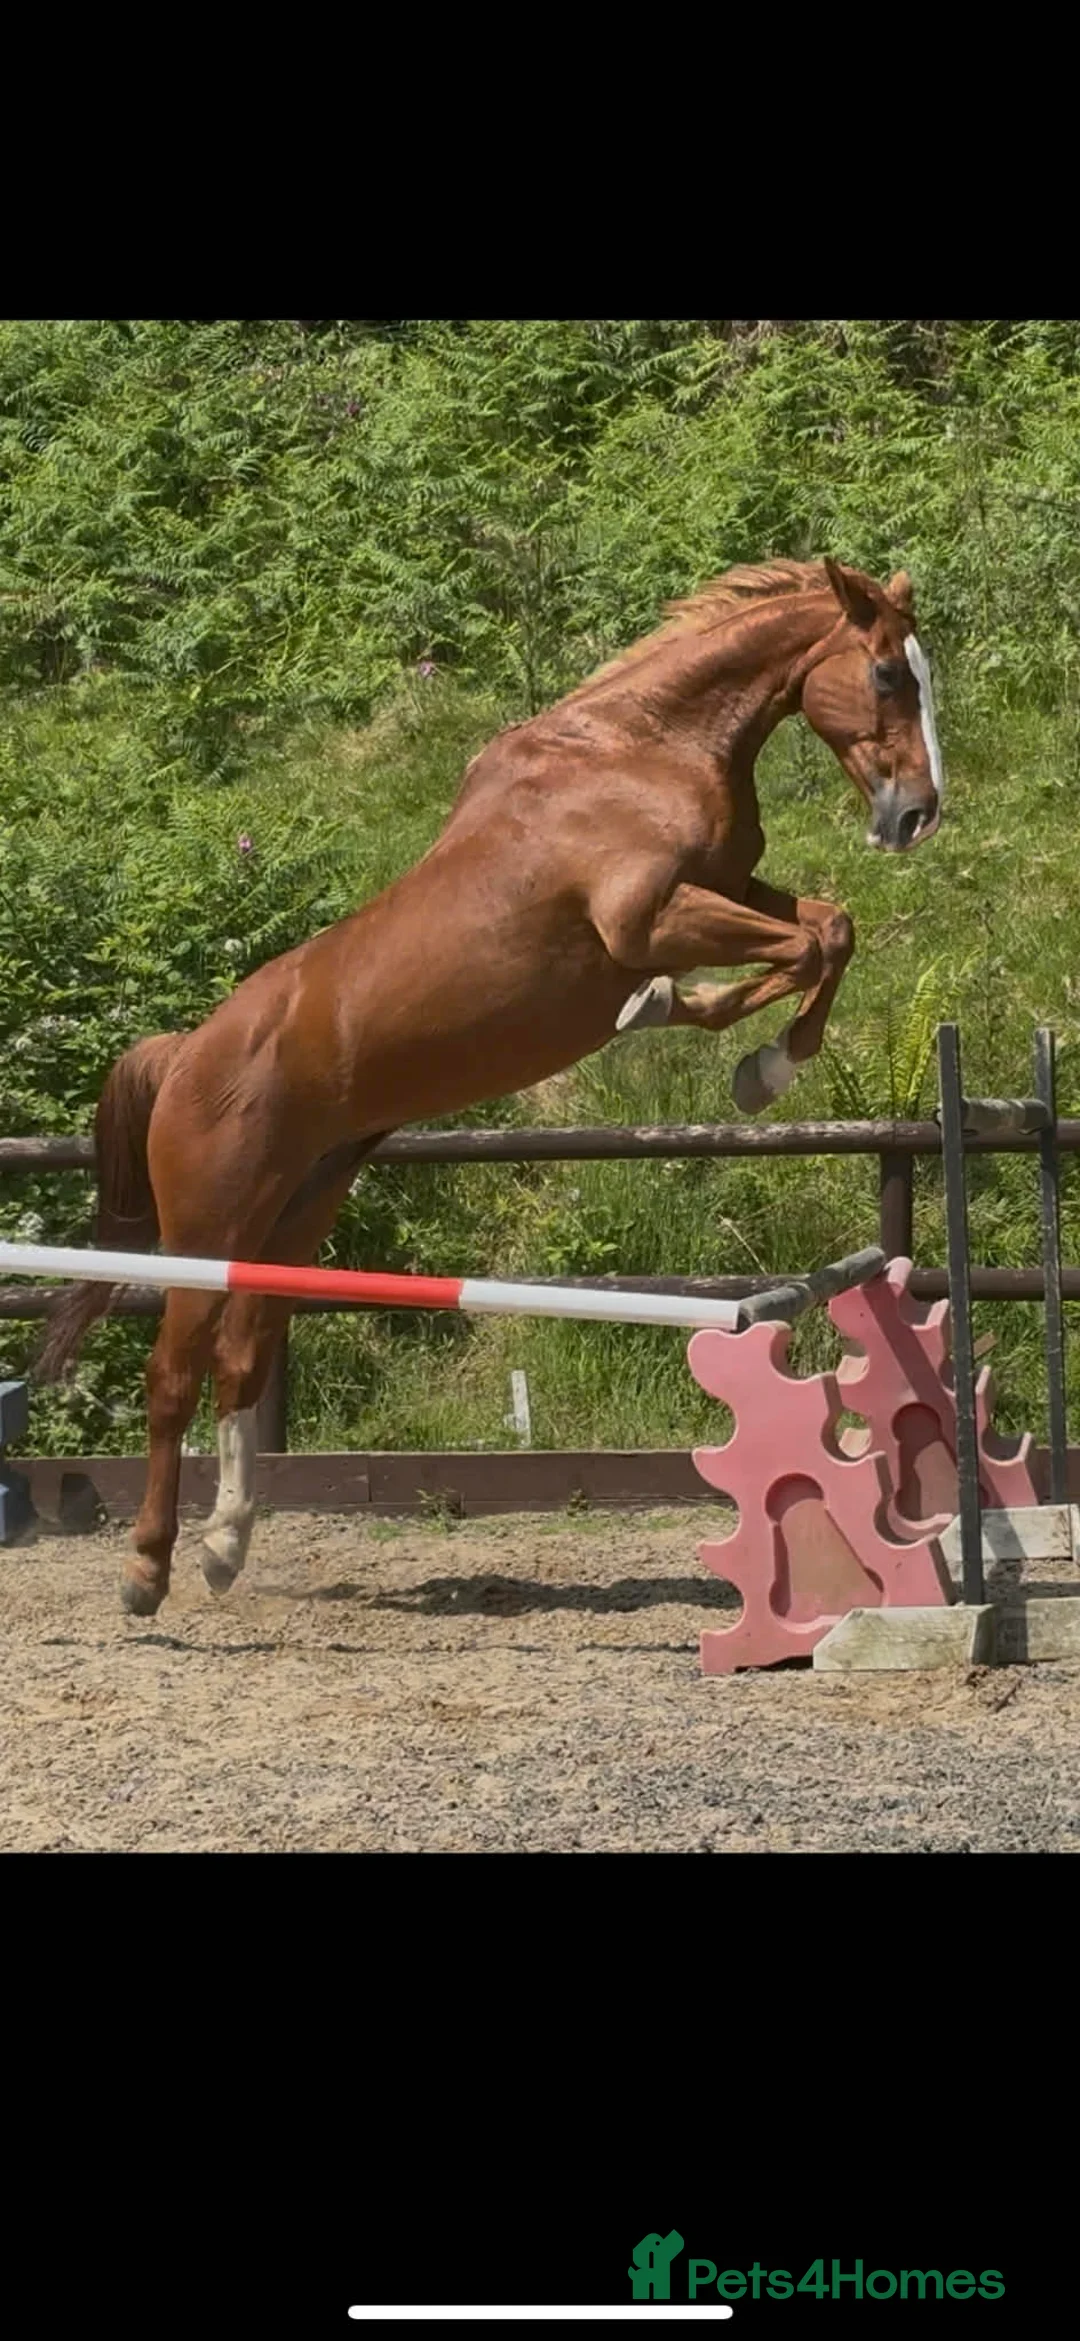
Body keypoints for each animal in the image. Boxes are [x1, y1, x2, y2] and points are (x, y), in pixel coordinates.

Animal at [36, 556, 944, 1618]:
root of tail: (184, 1053)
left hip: (296, 1210)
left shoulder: (726, 887)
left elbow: (828, 929)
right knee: (171, 1372)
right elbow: (791, 950)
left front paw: (755, 1057)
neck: (649, 746)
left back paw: (226, 1543)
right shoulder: (647, 917)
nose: (917, 814)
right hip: (209, 1226)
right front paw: (716, 1038)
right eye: (887, 674)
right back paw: (148, 1567)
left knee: (242, 1358)